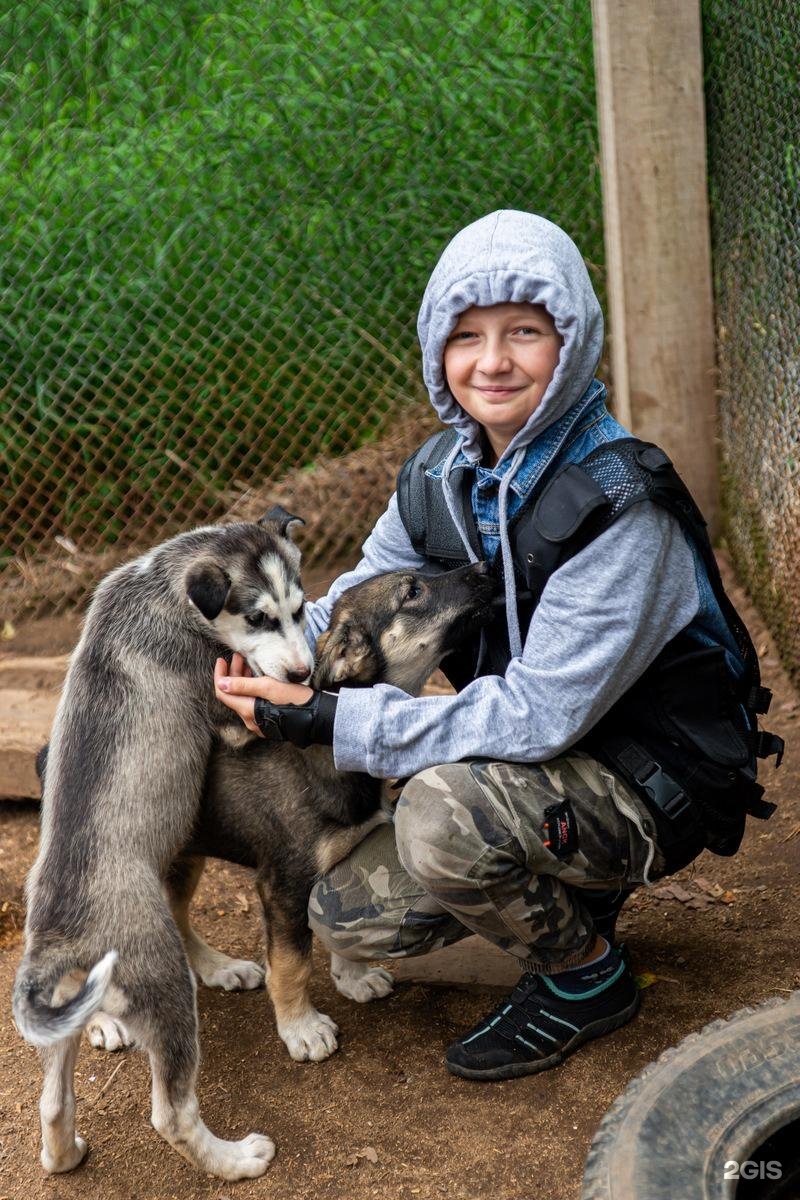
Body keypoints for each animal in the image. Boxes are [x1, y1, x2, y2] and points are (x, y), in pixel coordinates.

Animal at [13, 506, 311, 1180]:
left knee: (51, 1104)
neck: (162, 583)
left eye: (299, 609)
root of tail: (60, 930)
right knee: (171, 1112)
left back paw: (67, 1154)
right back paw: (236, 1159)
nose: (303, 674)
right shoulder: (228, 710)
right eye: (258, 618)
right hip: (165, 991)